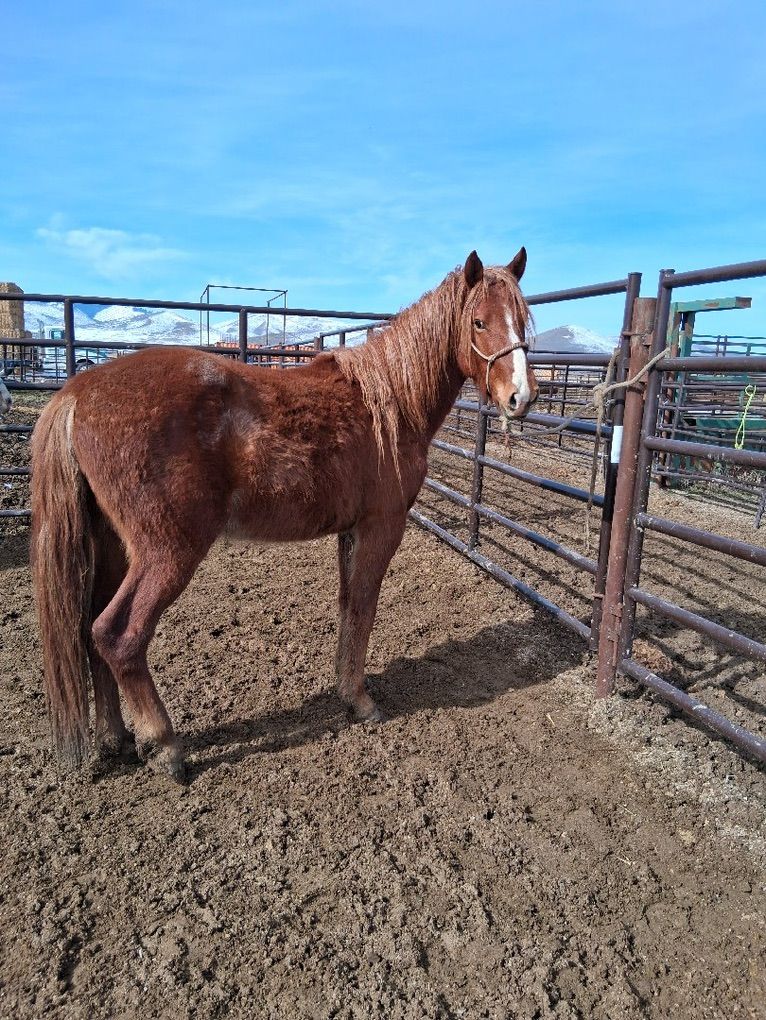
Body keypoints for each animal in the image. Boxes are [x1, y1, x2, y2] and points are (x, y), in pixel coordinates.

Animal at [31, 249, 539, 781]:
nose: (522, 397)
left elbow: (348, 606)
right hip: (167, 551)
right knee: (117, 636)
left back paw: (117, 739)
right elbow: (364, 607)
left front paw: (344, 690)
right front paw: (361, 701)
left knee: (89, 630)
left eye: (521, 319)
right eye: (479, 322)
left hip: (110, 545)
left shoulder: (350, 531)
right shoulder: (382, 526)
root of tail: (78, 393)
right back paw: (165, 746)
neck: (391, 401)